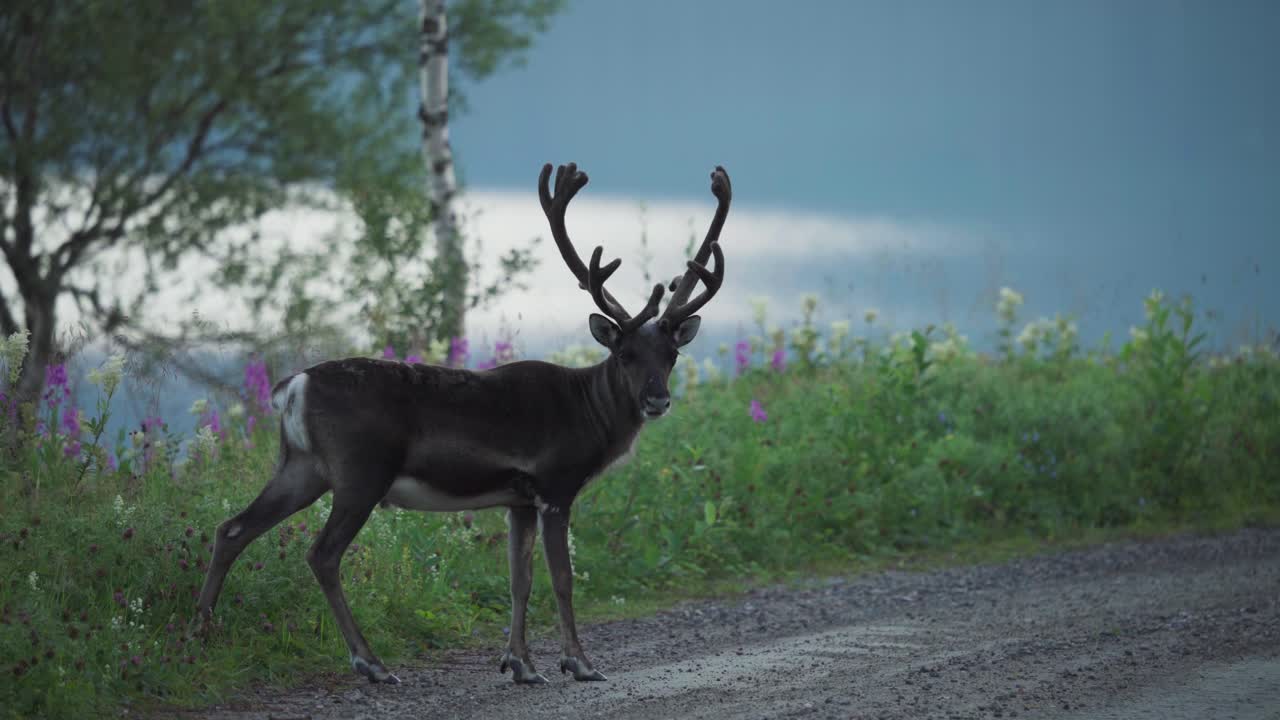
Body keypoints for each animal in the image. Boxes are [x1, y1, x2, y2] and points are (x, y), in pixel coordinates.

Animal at [194, 162, 731, 685]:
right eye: (625, 353)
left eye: (672, 354)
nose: (657, 399)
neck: (590, 414)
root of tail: (293, 387)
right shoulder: (555, 486)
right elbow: (562, 580)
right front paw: (578, 663)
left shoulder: (519, 499)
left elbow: (520, 580)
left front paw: (520, 665)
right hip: (360, 471)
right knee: (322, 554)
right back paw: (371, 663)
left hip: (301, 466)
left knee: (232, 529)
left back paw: (199, 634)